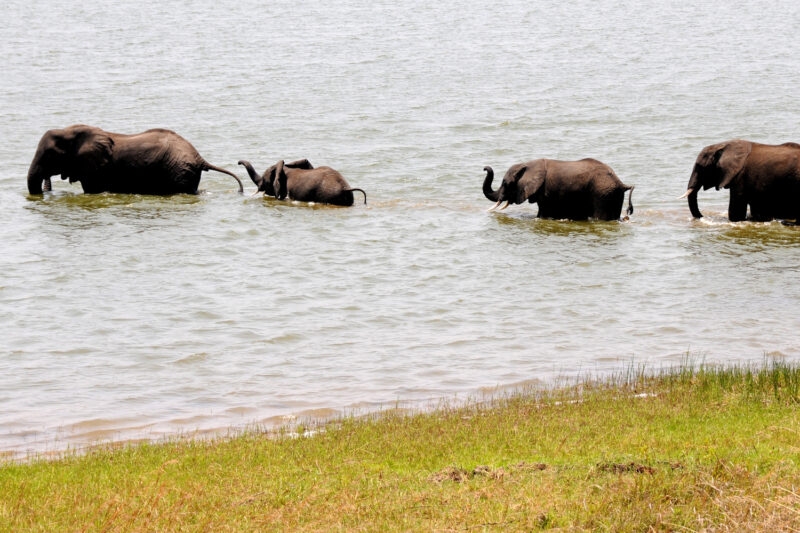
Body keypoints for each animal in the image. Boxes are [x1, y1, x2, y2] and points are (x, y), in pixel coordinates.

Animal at [482, 158, 634, 220]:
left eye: (506, 183)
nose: (485, 168)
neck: (527, 164)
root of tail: (621, 183)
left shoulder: (545, 192)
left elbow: (543, 213)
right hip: (611, 194)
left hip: (603, 193)